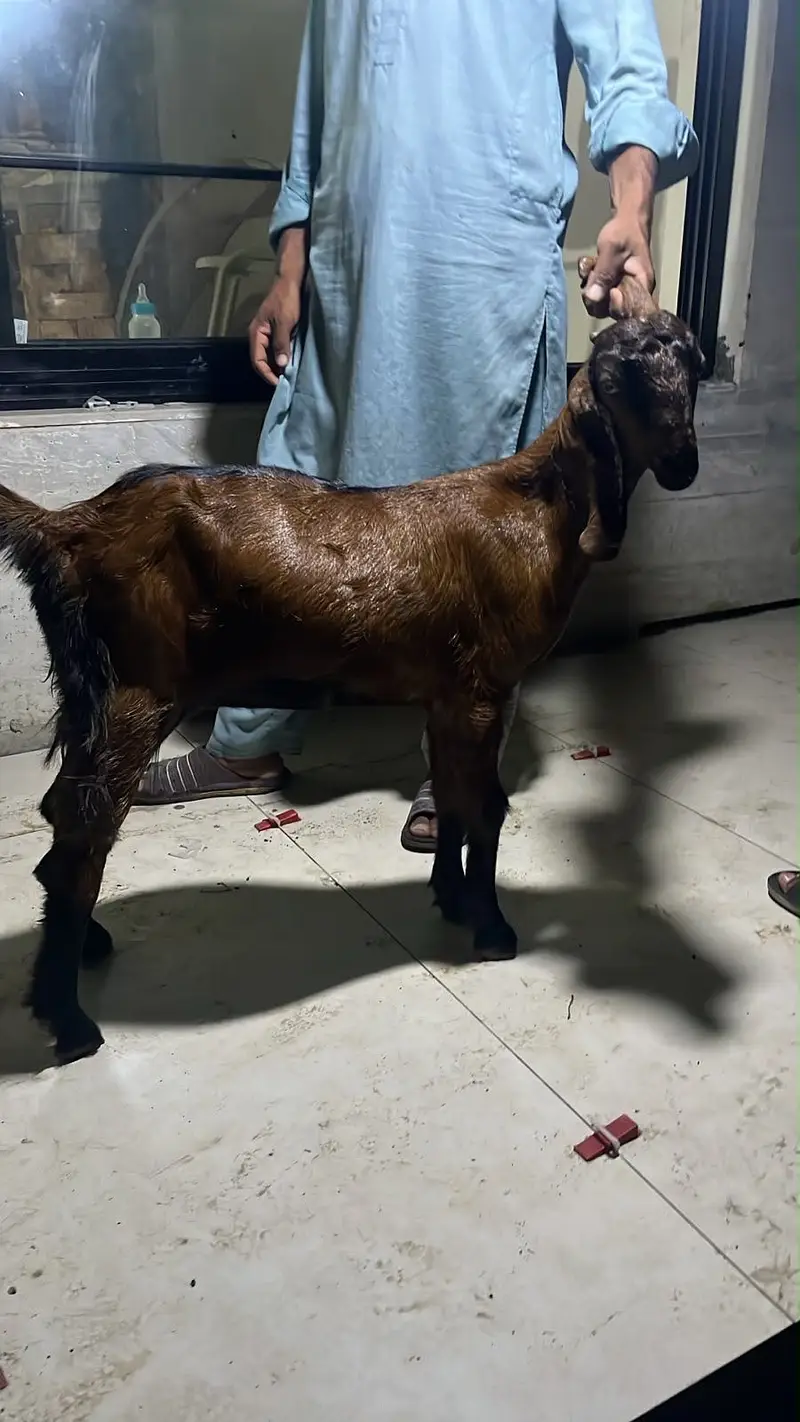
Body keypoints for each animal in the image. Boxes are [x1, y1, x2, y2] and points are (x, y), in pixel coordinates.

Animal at [0, 265, 703, 1064]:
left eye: (692, 363)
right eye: (622, 378)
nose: (684, 462)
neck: (539, 509)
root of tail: (68, 526)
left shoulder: (450, 691)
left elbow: (454, 799)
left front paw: (451, 899)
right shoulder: (487, 684)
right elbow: (486, 805)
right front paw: (492, 927)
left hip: (89, 692)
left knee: (62, 815)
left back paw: (85, 948)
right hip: (137, 690)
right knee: (80, 838)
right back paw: (69, 1021)